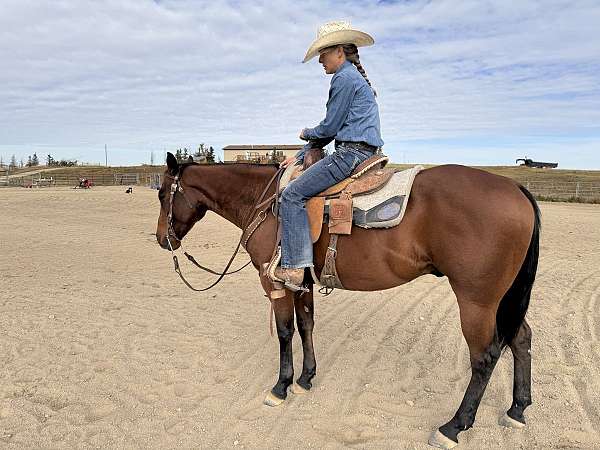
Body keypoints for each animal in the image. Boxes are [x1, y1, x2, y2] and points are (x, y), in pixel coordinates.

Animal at [155, 152, 540, 450]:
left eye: (161, 194)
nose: (162, 239)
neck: (266, 204)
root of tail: (516, 189)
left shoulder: (274, 282)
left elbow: (284, 332)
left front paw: (281, 386)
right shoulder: (301, 283)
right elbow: (306, 325)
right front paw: (306, 378)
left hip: (477, 301)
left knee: (485, 357)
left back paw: (454, 426)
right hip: (503, 299)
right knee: (521, 338)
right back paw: (518, 409)